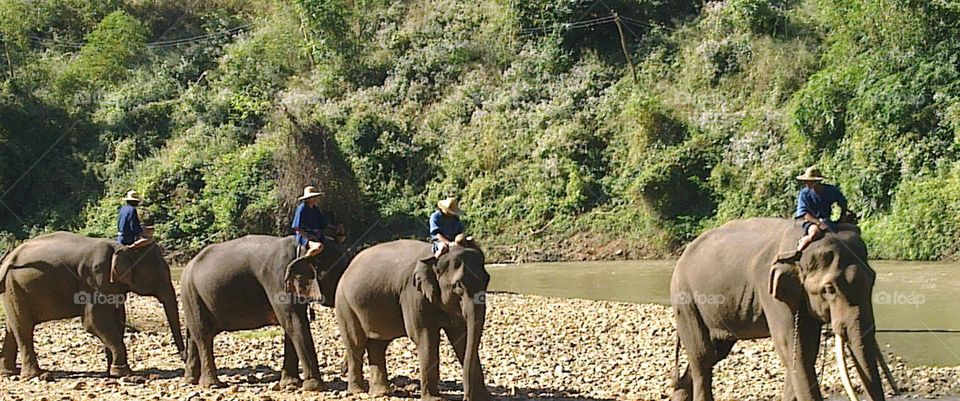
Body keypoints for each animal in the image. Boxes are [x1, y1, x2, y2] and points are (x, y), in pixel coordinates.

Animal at [0, 231, 185, 380]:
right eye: (157, 275)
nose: (183, 359)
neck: (122, 247)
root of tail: (7, 258)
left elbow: (117, 322)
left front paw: (112, 371)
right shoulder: (96, 279)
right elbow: (95, 322)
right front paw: (122, 372)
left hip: (12, 289)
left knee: (12, 327)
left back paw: (9, 372)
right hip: (14, 287)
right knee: (23, 327)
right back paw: (38, 375)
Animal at [179, 235, 348, 390]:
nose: (343, 369)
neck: (302, 248)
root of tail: (188, 266)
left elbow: (290, 326)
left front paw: (290, 384)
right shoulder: (278, 279)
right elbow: (294, 323)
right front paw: (314, 386)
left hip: (193, 297)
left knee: (195, 336)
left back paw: (191, 380)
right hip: (191, 294)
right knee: (203, 336)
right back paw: (213, 384)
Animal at [335, 239, 491, 401]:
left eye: (487, 280)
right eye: (457, 285)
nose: (466, 397)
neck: (433, 259)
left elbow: (462, 338)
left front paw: (484, 397)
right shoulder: (412, 293)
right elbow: (425, 336)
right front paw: (434, 399)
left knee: (377, 344)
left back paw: (381, 393)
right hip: (345, 304)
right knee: (356, 344)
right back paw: (357, 391)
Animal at [669, 218, 894, 401]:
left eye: (873, 279)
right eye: (829, 289)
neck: (798, 248)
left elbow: (805, 349)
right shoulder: (769, 289)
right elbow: (792, 346)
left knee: (716, 352)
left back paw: (678, 394)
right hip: (685, 299)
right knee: (703, 356)